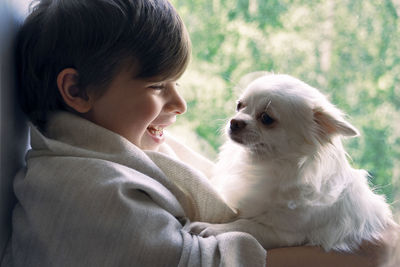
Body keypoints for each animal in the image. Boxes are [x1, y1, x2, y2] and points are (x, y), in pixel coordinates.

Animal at [191, 74, 396, 252]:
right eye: (239, 106)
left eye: (266, 118)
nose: (234, 122)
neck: (266, 165)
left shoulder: (284, 233)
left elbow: (246, 224)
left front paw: (212, 228)